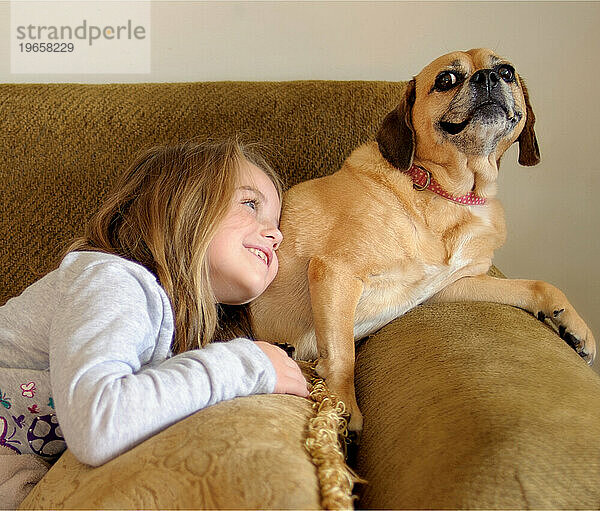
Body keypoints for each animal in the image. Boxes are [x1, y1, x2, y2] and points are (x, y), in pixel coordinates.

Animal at [248, 49, 596, 432]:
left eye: (507, 72)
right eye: (446, 80)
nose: (489, 77)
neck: (451, 194)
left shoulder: (452, 286)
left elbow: (535, 285)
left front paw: (573, 325)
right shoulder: (335, 273)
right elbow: (342, 353)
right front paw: (342, 405)